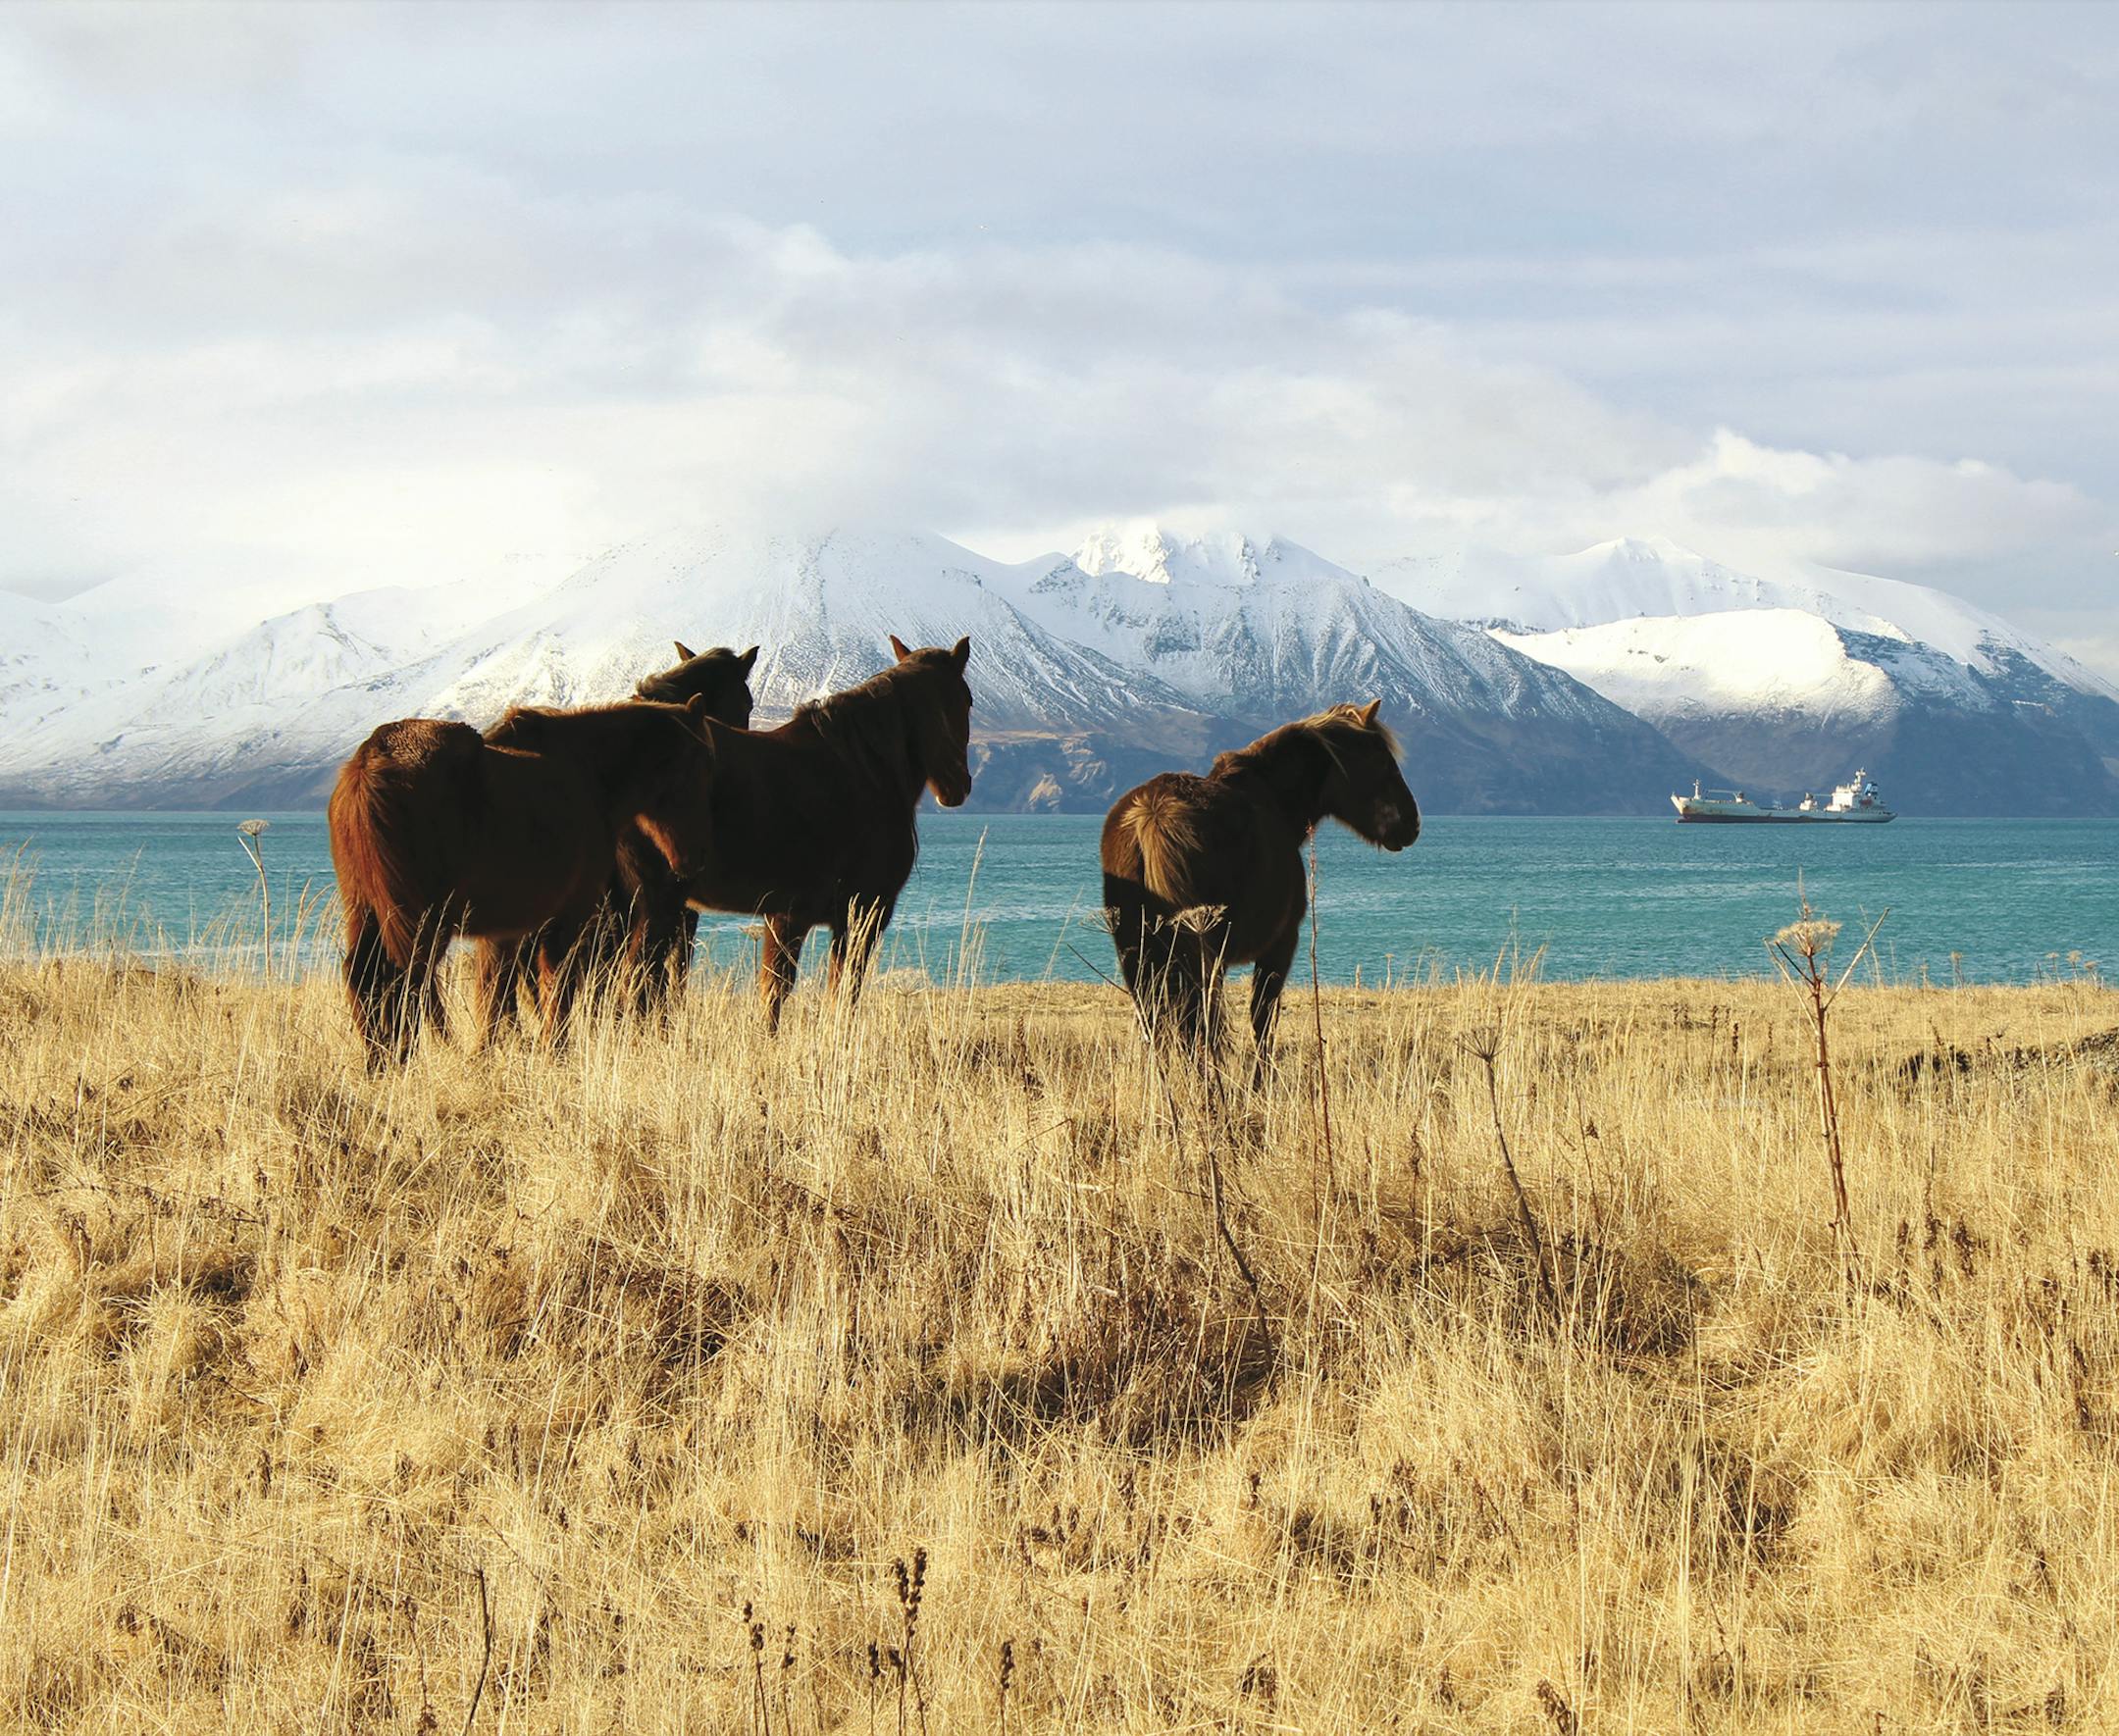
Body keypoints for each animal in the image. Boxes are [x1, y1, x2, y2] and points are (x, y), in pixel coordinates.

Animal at [328, 696, 718, 1067]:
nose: (694, 861)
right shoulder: (570, 915)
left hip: (367, 909)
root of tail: (371, 759)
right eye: (700, 771)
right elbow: (555, 986)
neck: (589, 775)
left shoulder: (505, 929)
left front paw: (486, 1056)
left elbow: (496, 994)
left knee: (363, 976)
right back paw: (397, 1057)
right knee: (401, 978)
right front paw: (553, 1052)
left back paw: (378, 1061)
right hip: (422, 919)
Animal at [674, 634, 974, 1029]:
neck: (864, 767)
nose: (959, 784)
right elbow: (817, 993)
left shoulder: (800, 916)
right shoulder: (850, 913)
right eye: (968, 700)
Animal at [1100, 701, 1418, 1074]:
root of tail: (1152, 814)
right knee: (1197, 1026)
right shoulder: (1280, 945)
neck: (1273, 798)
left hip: (1142, 958)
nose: (1412, 823)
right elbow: (1263, 1021)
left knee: (1161, 1026)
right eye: (1383, 760)